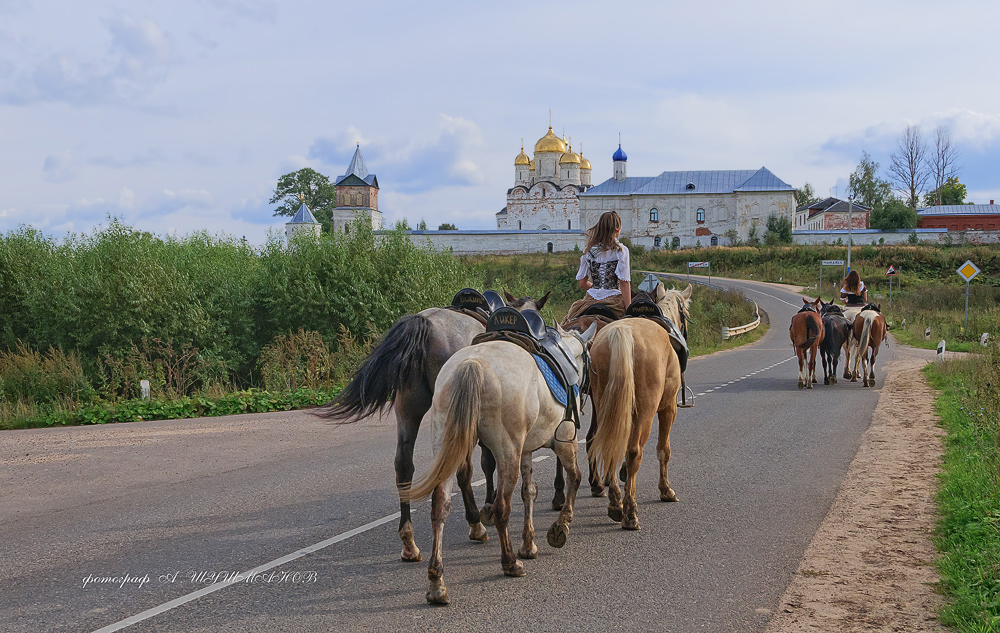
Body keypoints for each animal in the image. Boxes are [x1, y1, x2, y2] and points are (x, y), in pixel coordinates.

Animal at [404, 320, 592, 604]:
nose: (584, 396)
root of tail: (472, 364)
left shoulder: (526, 451)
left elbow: (529, 492)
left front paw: (529, 543)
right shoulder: (564, 442)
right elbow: (575, 477)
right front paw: (561, 526)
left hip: (447, 448)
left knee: (440, 507)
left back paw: (437, 583)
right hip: (507, 452)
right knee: (502, 507)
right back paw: (510, 562)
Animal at [584, 286, 692, 528]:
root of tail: (621, 333)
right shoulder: (668, 409)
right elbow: (663, 450)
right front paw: (666, 490)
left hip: (605, 406)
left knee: (607, 444)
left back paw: (615, 504)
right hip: (645, 411)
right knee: (635, 451)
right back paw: (630, 512)